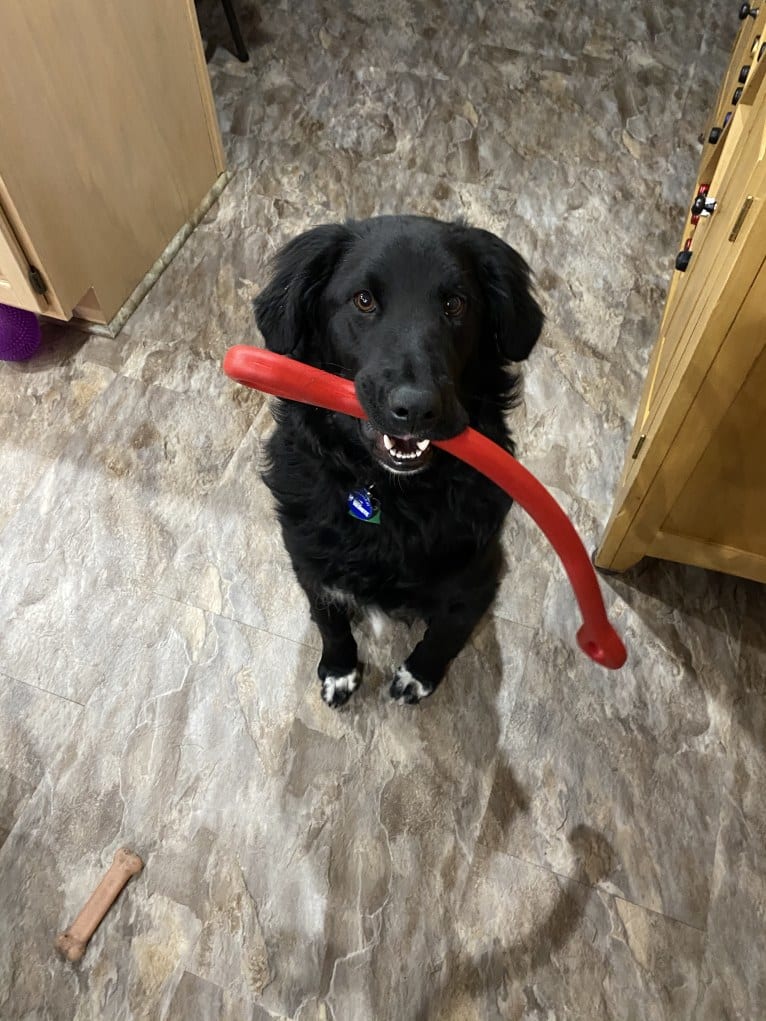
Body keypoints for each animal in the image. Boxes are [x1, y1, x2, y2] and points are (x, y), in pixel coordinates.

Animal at [258, 213, 547, 710]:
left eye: (455, 303)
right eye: (364, 300)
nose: (415, 408)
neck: (387, 497)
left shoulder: (476, 578)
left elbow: (446, 634)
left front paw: (419, 676)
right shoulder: (309, 563)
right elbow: (331, 623)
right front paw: (340, 671)